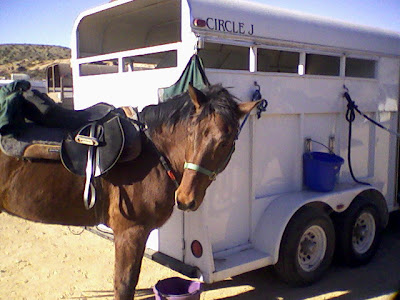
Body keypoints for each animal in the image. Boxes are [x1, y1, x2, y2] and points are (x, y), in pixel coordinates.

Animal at [0, 85, 260, 300]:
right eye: (190, 133)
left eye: (226, 141)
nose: (186, 198)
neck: (154, 153)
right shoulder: (130, 233)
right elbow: (124, 286)